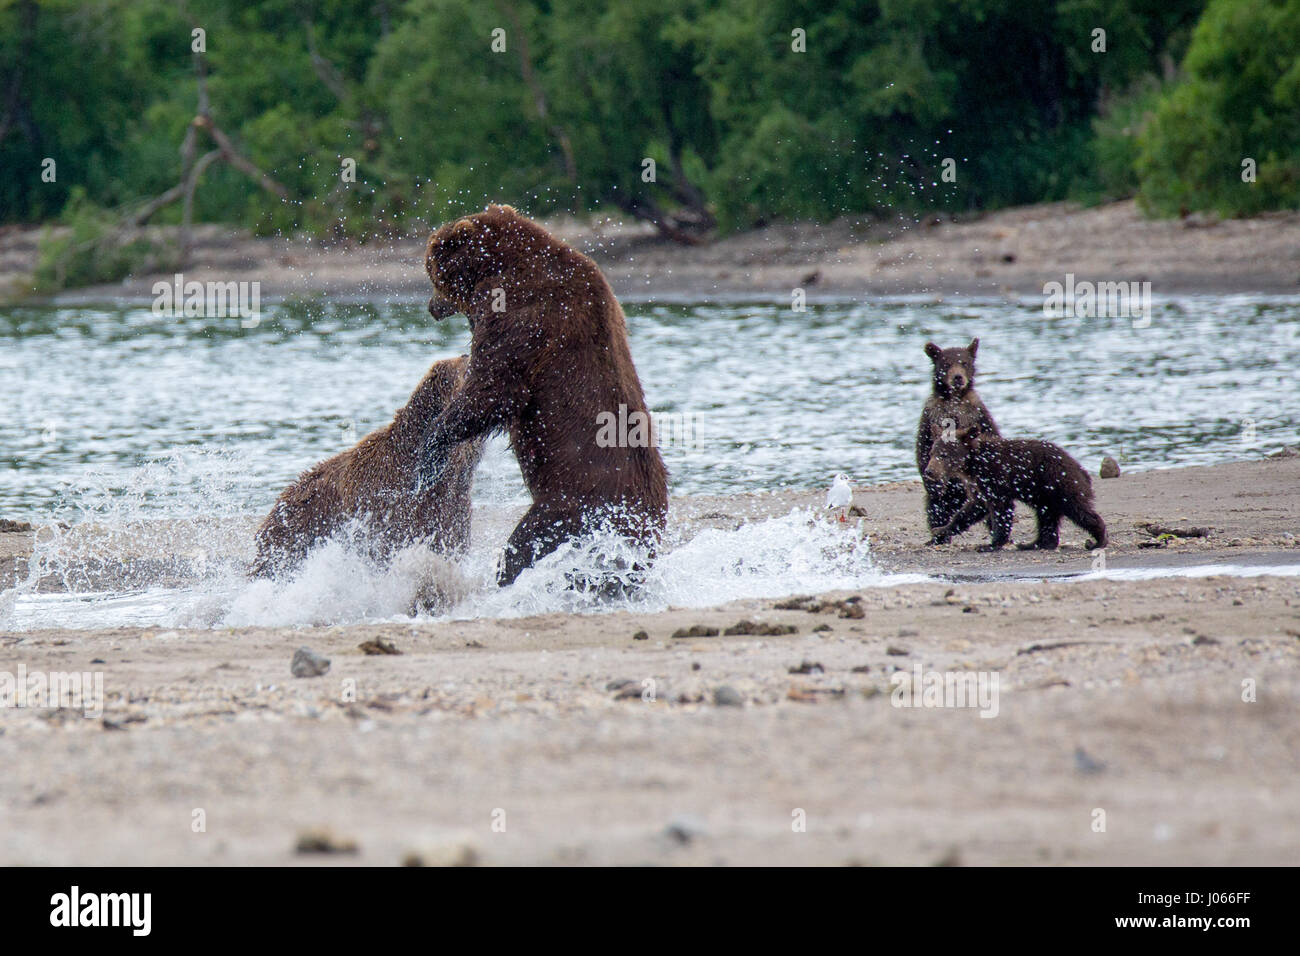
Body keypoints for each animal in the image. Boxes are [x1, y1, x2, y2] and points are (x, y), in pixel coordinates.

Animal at [417, 204, 669, 587]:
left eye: (431, 269)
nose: (432, 307)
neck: (498, 264)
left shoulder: (522, 313)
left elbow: (495, 388)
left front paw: (430, 449)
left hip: (570, 505)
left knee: (523, 546)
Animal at [915, 339, 1000, 530]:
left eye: (964, 363)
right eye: (946, 364)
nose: (958, 377)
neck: (954, 401)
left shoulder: (978, 414)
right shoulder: (932, 415)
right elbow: (924, 447)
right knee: (937, 509)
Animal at [923, 426, 1107, 552]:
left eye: (944, 455)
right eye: (932, 453)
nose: (929, 471)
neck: (973, 464)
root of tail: (1080, 467)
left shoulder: (995, 477)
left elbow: (1001, 509)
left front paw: (990, 544)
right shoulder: (978, 485)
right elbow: (972, 509)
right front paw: (940, 531)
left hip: (1059, 483)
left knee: (1078, 509)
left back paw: (1097, 540)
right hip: (1044, 495)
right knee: (1046, 517)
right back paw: (1034, 543)